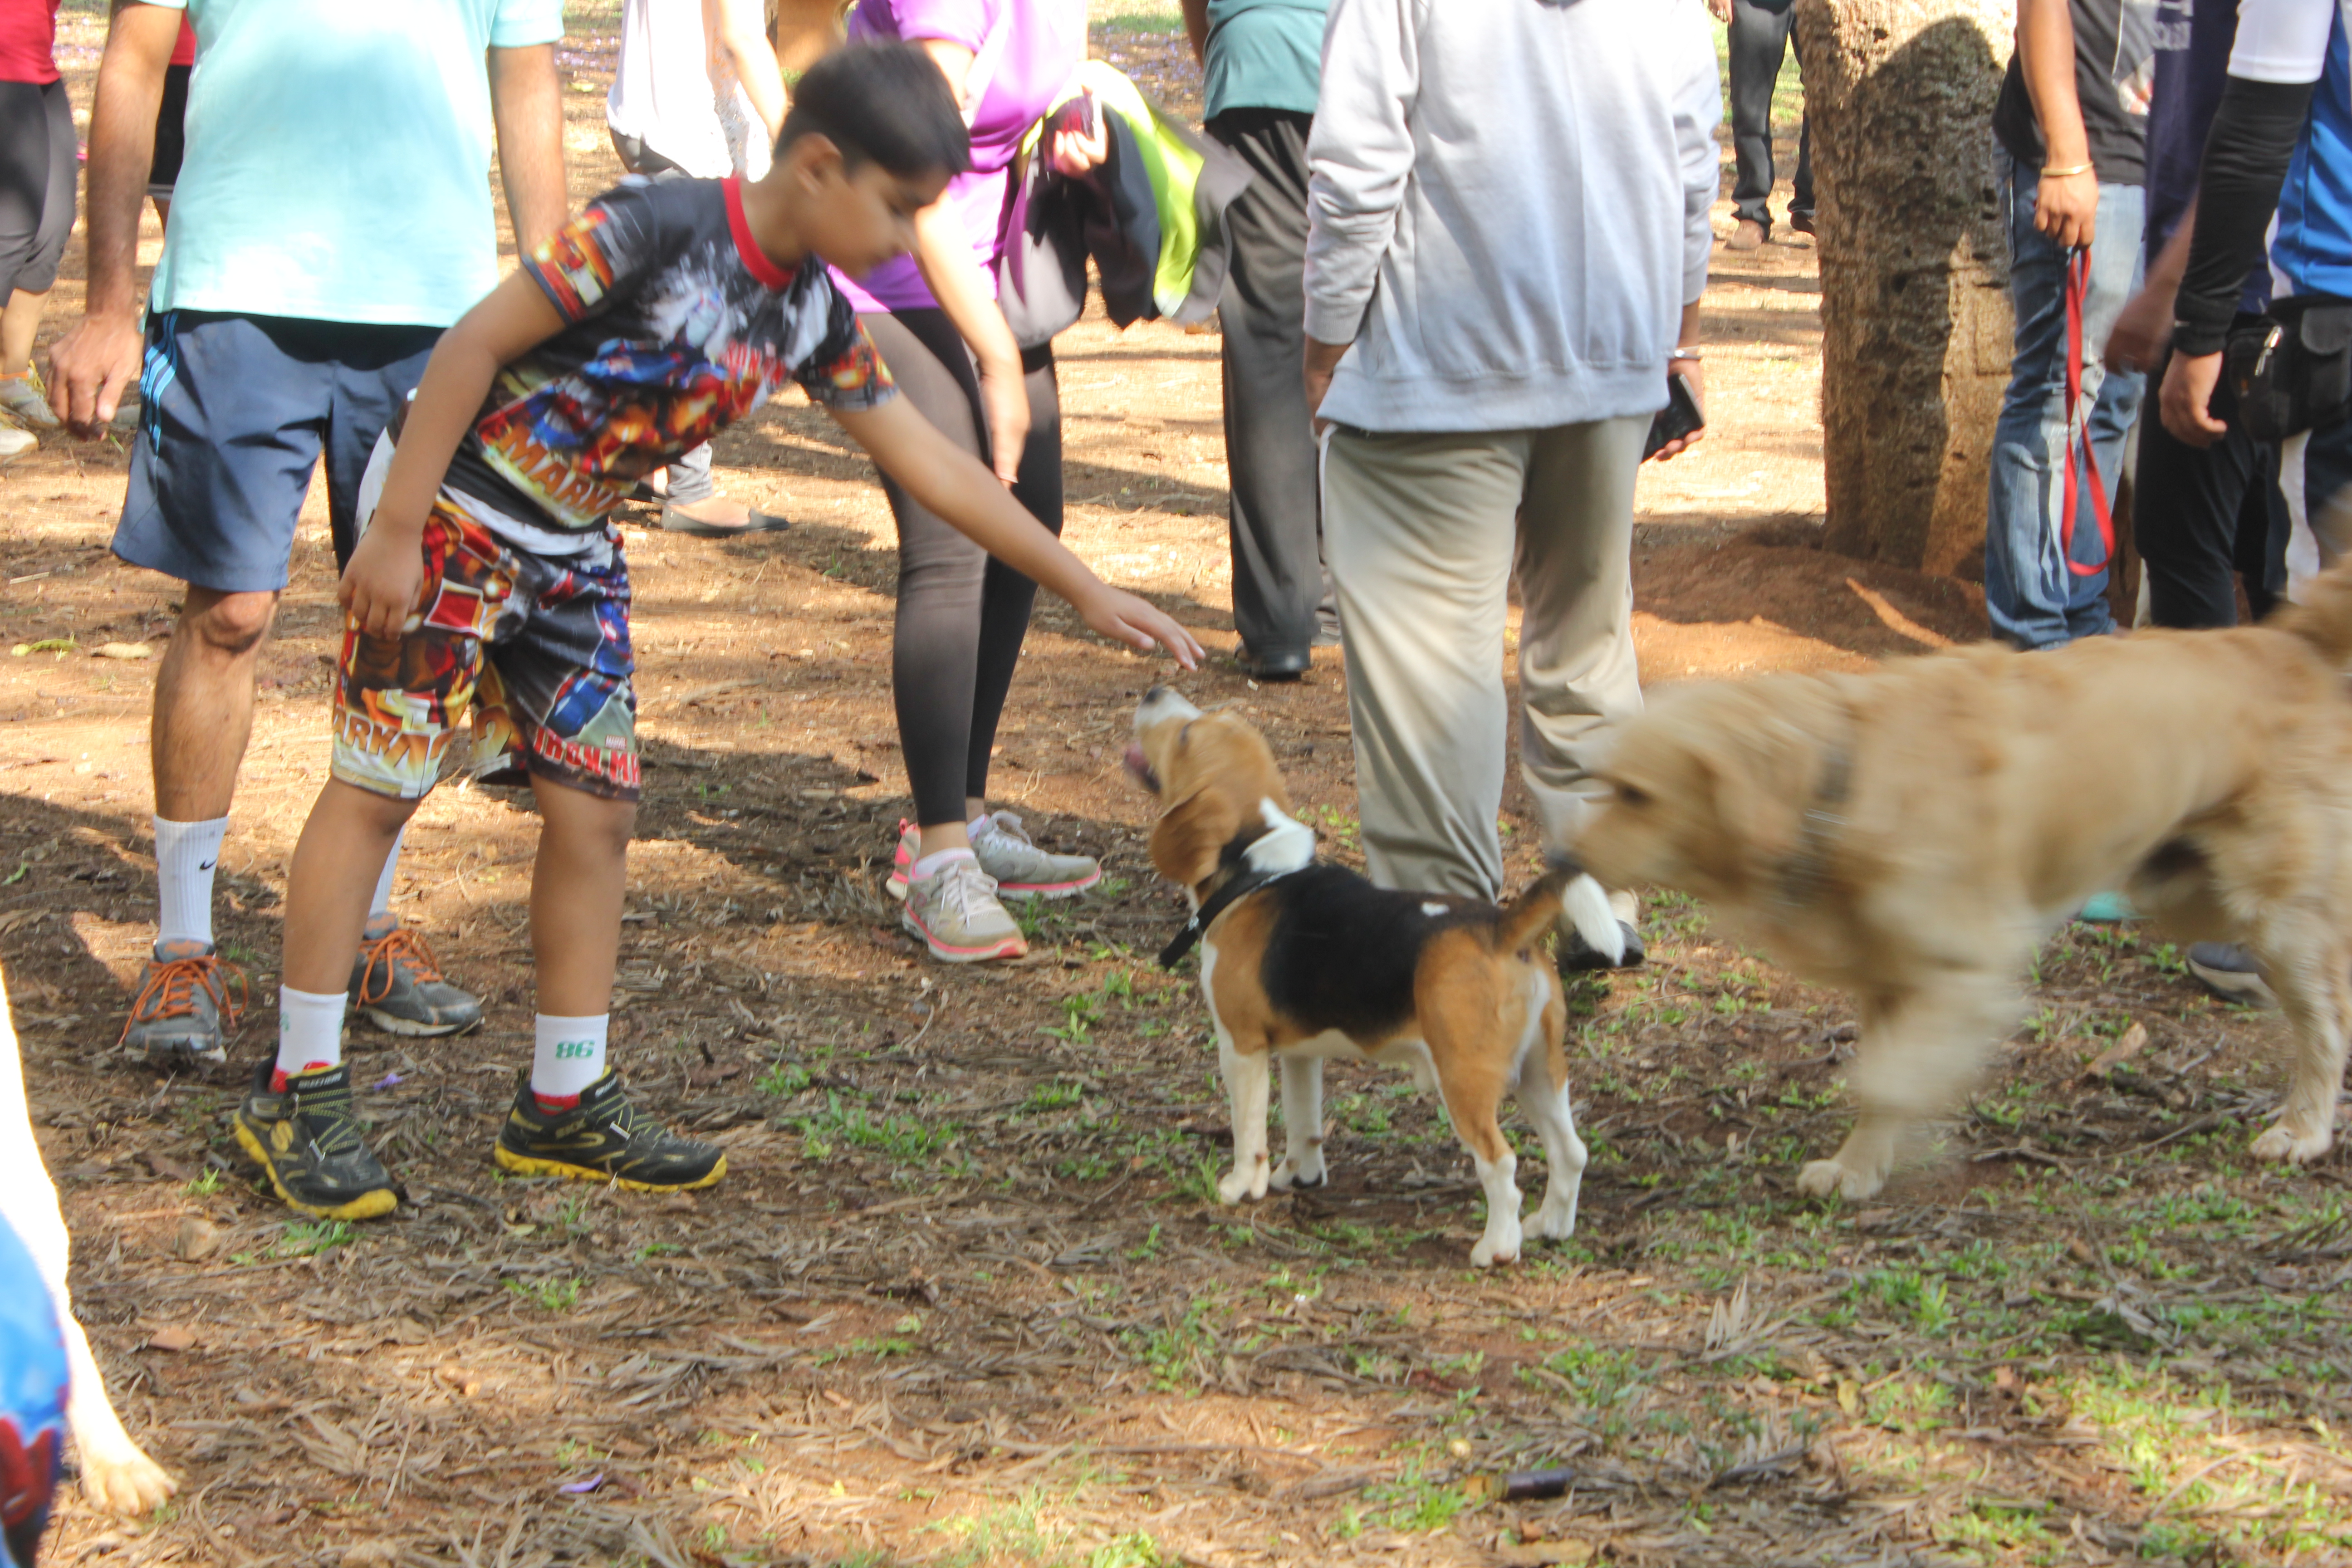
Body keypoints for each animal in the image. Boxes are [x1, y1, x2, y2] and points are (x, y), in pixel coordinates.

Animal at [1129, 691, 1627, 1269]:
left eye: (1187, 737)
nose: (1154, 693)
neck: (1257, 874)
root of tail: (1502, 928)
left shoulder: (1242, 1046)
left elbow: (1248, 1127)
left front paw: (1239, 1185)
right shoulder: (1302, 1053)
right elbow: (1304, 1121)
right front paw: (1299, 1176)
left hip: (1465, 1078)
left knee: (1501, 1163)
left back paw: (1497, 1248)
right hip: (1539, 1071)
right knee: (1571, 1153)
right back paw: (1550, 1227)